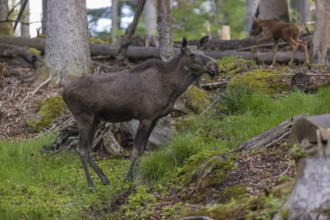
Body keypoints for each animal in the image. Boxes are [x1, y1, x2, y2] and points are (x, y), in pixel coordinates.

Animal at [62, 36, 219, 187]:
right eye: (192, 54)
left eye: (203, 51)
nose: (214, 66)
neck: (173, 89)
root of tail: (64, 93)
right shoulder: (146, 116)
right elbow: (136, 149)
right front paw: (128, 178)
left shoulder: (155, 118)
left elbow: (143, 148)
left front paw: (138, 175)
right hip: (83, 117)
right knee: (81, 149)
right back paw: (91, 184)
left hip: (95, 119)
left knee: (88, 149)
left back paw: (104, 179)